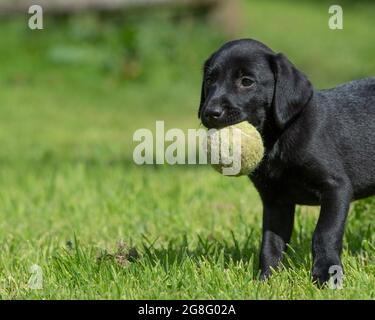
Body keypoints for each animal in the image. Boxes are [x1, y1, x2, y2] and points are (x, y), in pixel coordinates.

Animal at [198, 38, 374, 284]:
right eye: (209, 80)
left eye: (246, 81)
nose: (210, 112)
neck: (277, 139)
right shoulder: (275, 201)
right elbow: (271, 243)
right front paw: (266, 279)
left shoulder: (337, 188)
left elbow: (324, 234)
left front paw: (326, 275)